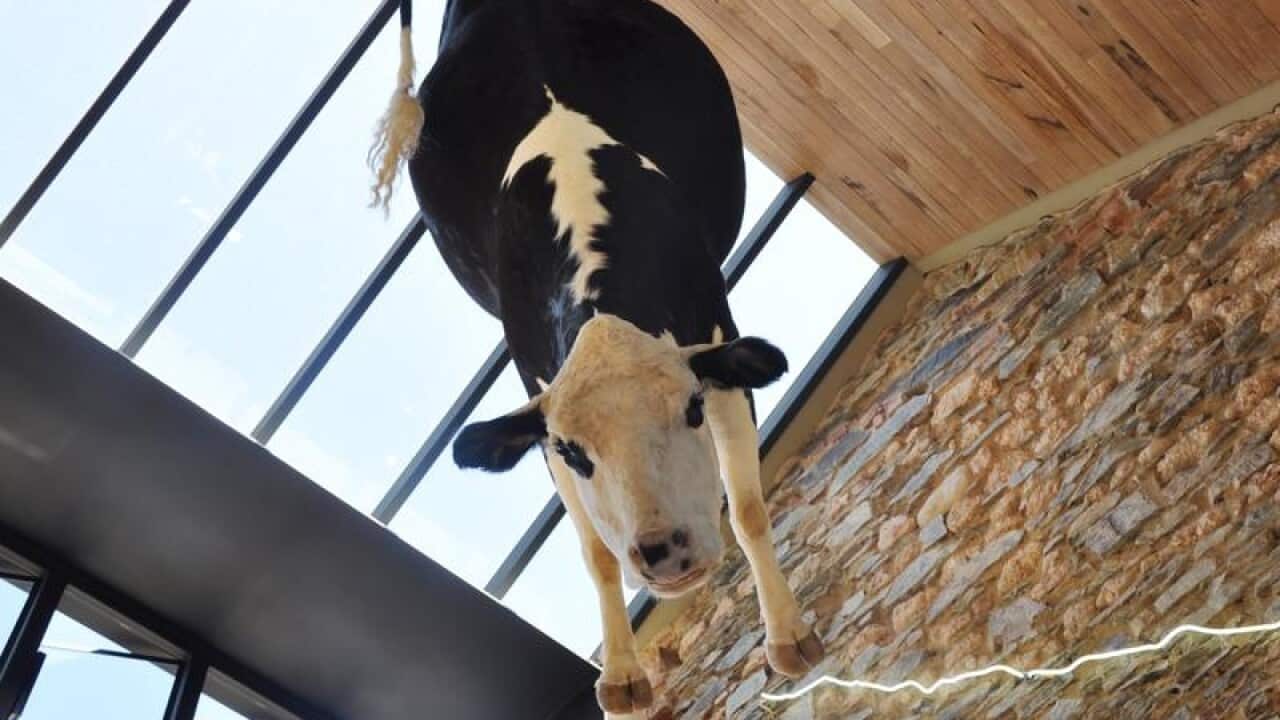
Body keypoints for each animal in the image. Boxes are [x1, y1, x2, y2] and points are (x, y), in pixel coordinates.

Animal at [371, 0, 824, 712]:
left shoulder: (720, 350)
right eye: (575, 450)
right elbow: (596, 555)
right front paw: (622, 675)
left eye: (692, 411)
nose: (663, 551)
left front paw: (788, 636)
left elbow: (749, 509)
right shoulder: (540, 411)